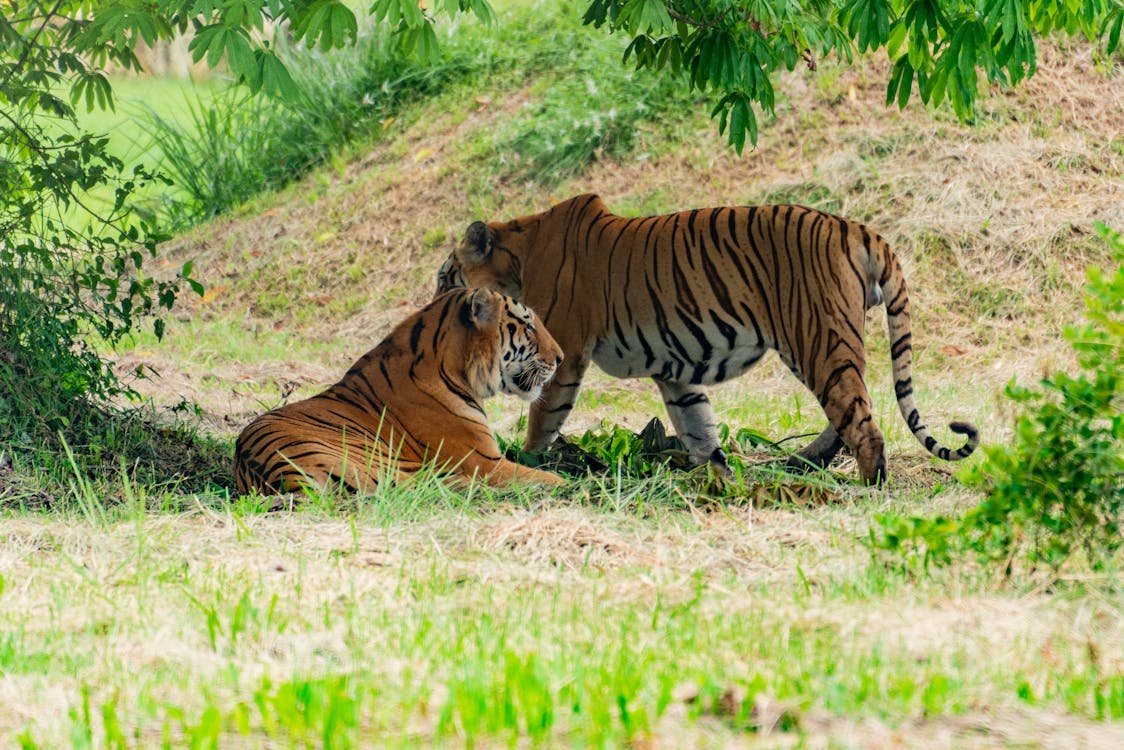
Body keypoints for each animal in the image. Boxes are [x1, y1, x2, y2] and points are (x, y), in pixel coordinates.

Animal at [233, 285, 566, 492]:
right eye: (529, 326)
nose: (561, 358)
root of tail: (282, 476)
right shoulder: (486, 463)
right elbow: (550, 478)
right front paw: (571, 483)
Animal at [433, 195, 980, 488]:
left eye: (444, 276)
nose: (435, 306)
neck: (519, 257)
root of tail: (855, 226)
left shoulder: (565, 353)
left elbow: (543, 416)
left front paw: (527, 458)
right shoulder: (673, 369)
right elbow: (697, 425)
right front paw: (713, 478)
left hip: (816, 337)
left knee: (862, 423)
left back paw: (865, 486)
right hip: (823, 344)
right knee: (851, 410)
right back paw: (799, 462)